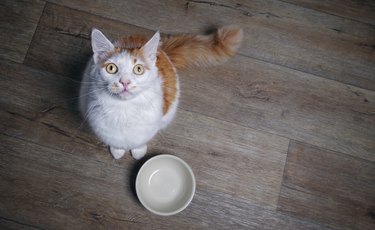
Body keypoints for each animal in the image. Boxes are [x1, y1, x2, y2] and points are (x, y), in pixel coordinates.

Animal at [79, 26, 244, 160]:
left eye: (138, 69)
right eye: (111, 68)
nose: (125, 82)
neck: (123, 110)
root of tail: (162, 49)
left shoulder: (149, 126)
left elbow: (139, 141)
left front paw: (138, 152)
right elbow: (115, 141)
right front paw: (117, 151)